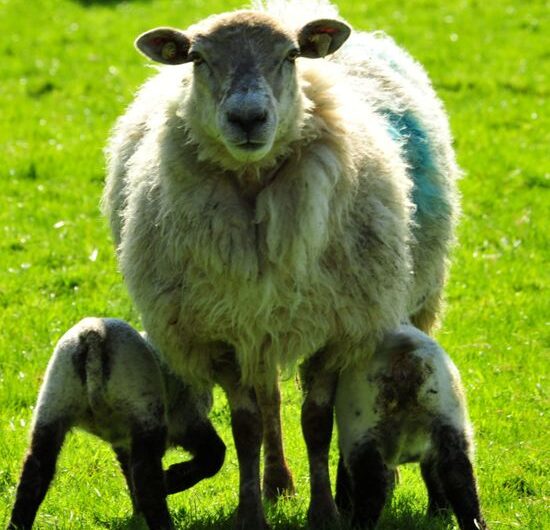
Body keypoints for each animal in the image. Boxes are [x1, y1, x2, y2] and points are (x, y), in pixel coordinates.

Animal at [7, 318, 226, 528]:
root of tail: (93, 335)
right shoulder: (187, 419)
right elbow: (214, 455)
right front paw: (172, 479)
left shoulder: (124, 441)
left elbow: (127, 472)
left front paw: (139, 515)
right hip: (144, 406)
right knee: (146, 479)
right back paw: (163, 517)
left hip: (54, 403)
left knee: (34, 474)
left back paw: (17, 524)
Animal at [102, 1, 462, 524]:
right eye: (196, 58)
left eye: (291, 56)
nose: (248, 118)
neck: (255, 188)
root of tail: (295, 10)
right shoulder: (221, 333)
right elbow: (247, 424)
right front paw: (251, 510)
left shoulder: (338, 326)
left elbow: (316, 422)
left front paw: (325, 512)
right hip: (260, 323)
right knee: (269, 399)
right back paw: (277, 482)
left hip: (419, 295)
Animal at [334, 322, 490, 528]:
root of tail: (407, 361)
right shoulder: (432, 450)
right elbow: (436, 480)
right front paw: (438, 516)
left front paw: (342, 509)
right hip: (449, 423)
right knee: (460, 480)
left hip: (362, 429)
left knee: (371, 489)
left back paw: (359, 523)